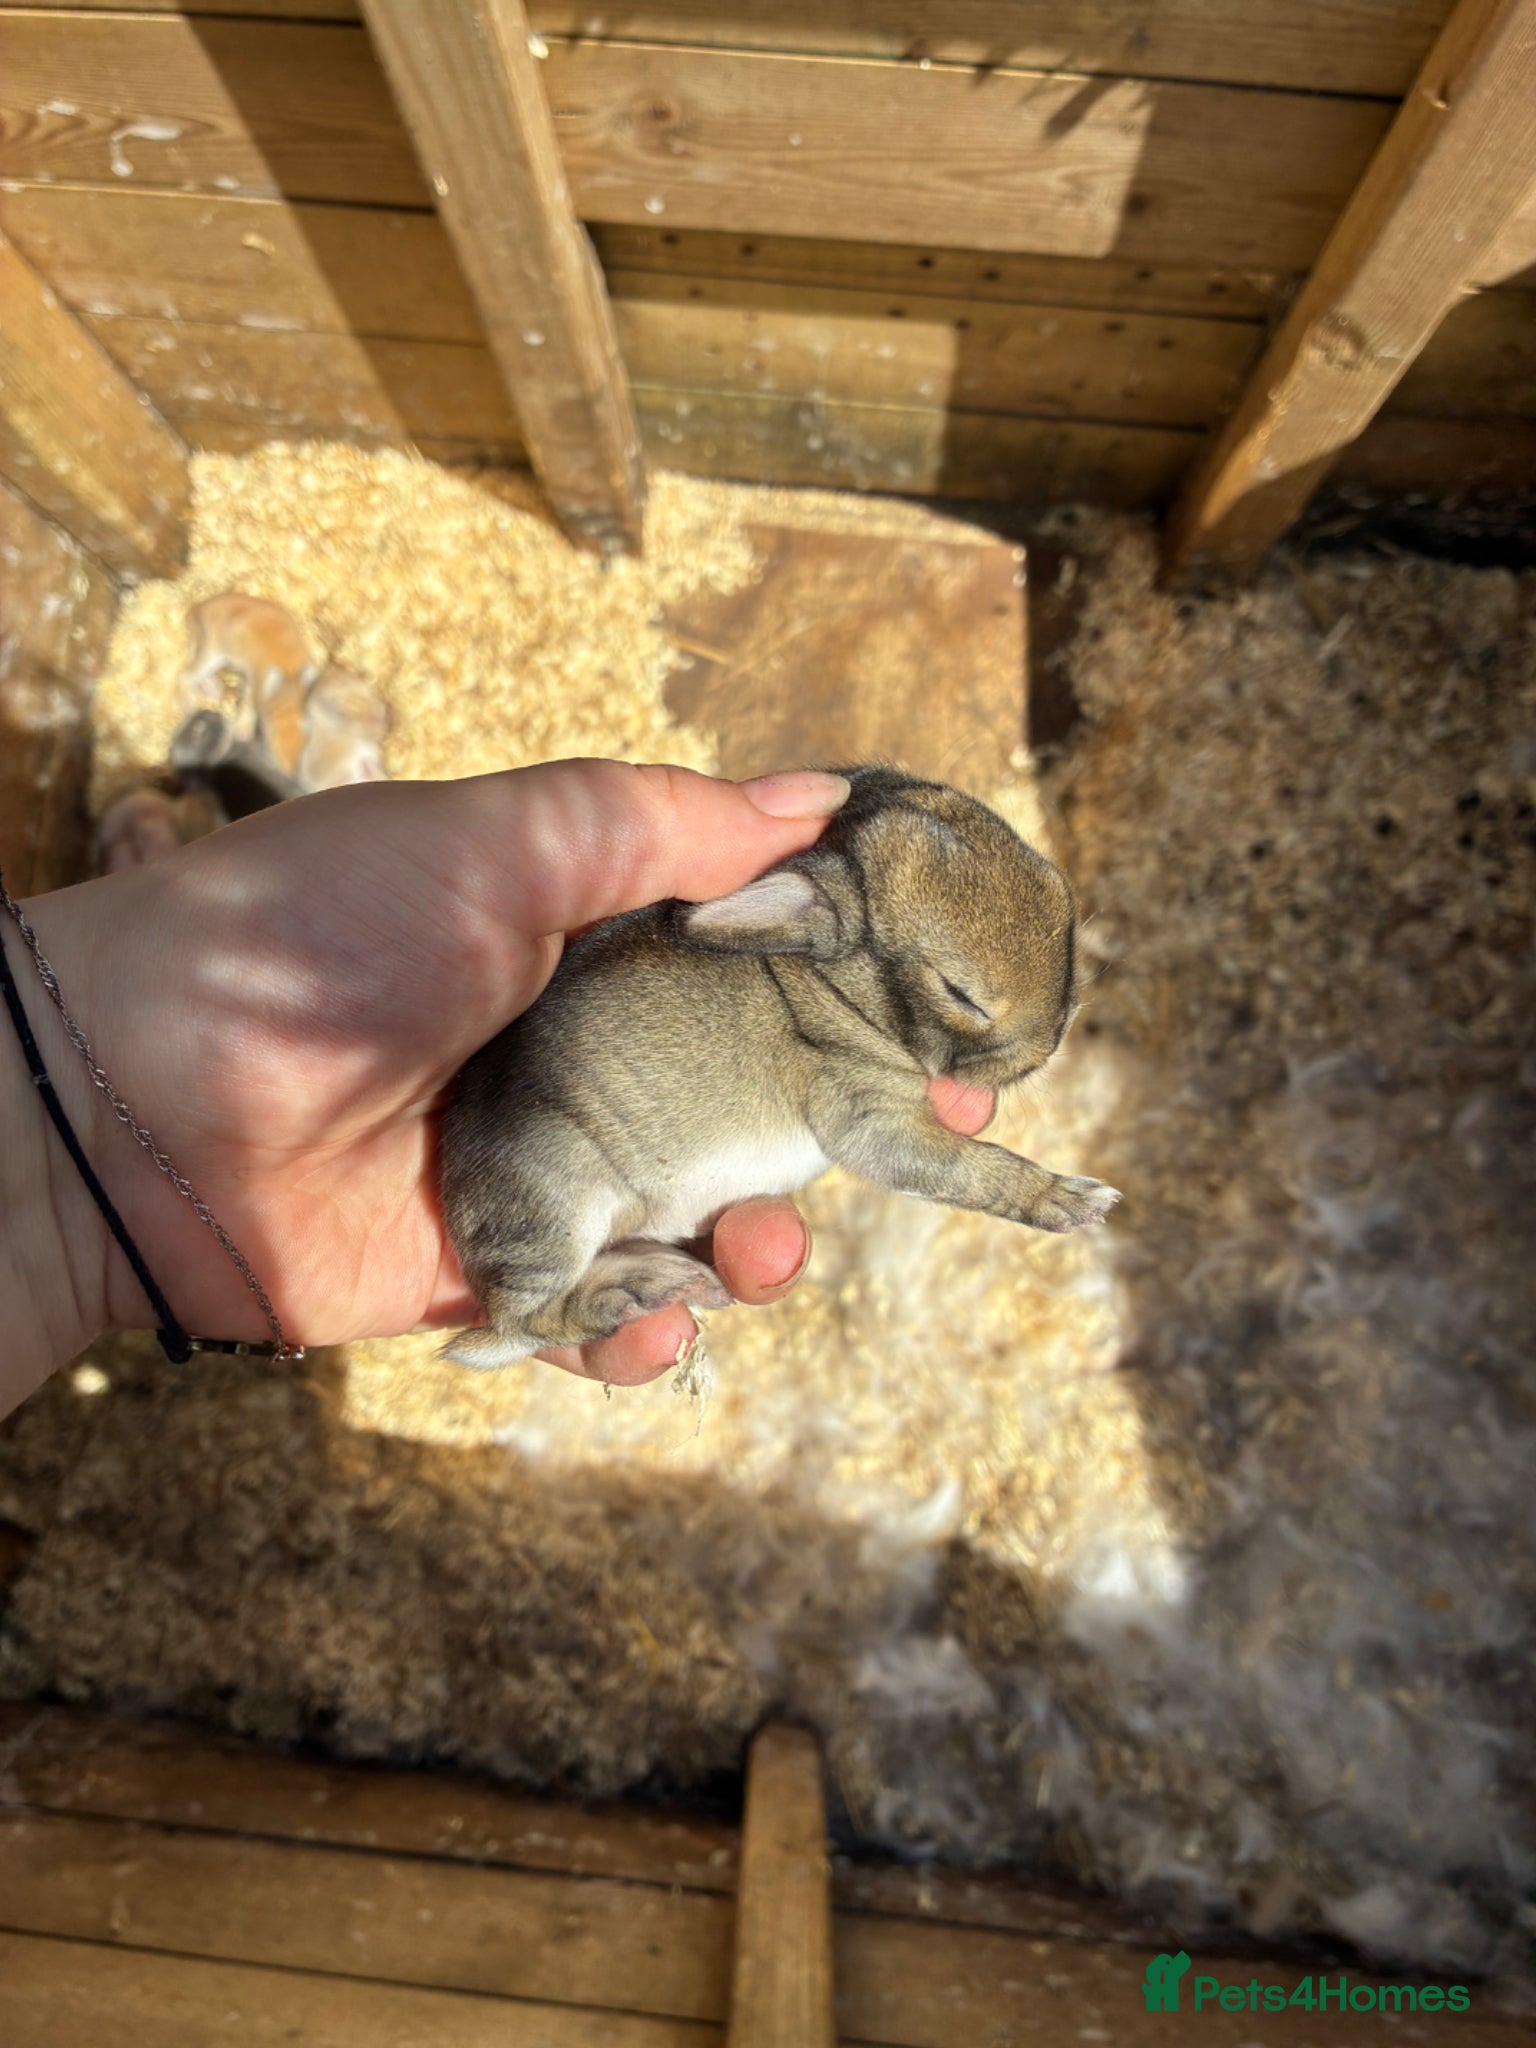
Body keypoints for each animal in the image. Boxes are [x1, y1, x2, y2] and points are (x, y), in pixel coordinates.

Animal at [440, 765, 1119, 1368]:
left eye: (1059, 886)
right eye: (961, 995)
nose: (1056, 1038)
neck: (837, 988)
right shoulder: (870, 1119)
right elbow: (975, 1168)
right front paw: (1074, 1199)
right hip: (558, 1204)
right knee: (527, 1322)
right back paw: (640, 1291)